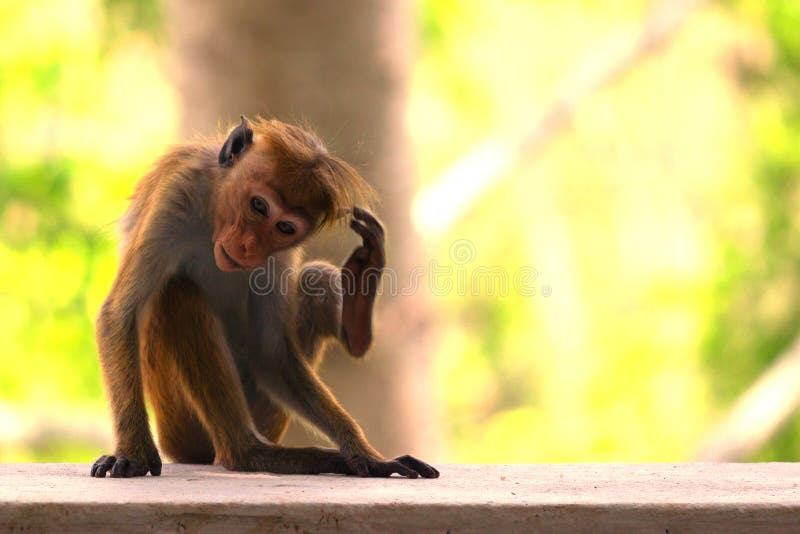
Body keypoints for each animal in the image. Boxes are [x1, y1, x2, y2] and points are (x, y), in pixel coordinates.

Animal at [91, 116, 440, 482]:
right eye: (258, 205)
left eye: (284, 227)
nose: (248, 246)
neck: (213, 214)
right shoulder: (175, 195)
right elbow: (118, 315)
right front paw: (132, 454)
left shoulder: (279, 254)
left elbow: (272, 355)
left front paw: (364, 453)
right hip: (180, 422)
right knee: (178, 291)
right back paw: (249, 453)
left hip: (264, 411)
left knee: (313, 280)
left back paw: (358, 313)